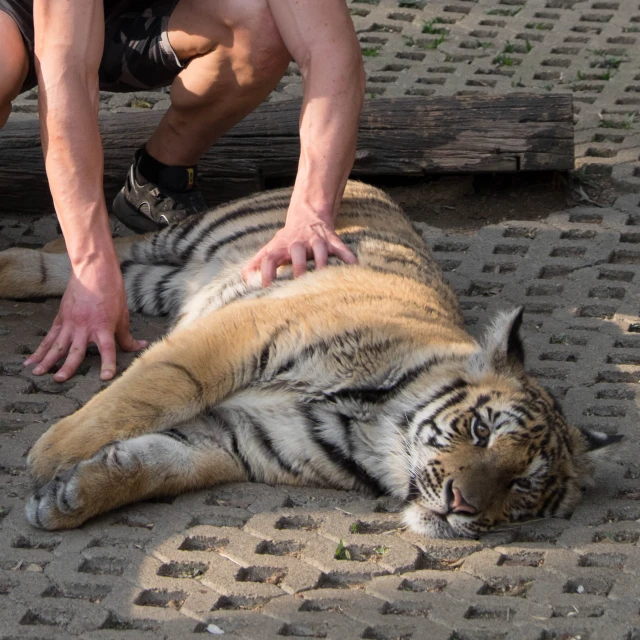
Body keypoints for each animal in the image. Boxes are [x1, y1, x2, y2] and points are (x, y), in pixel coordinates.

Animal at [0, 181, 620, 540]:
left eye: (523, 486)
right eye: (481, 430)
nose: (461, 505)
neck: (375, 425)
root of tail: (366, 180)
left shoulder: (238, 439)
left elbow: (163, 463)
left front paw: (68, 498)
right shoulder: (241, 333)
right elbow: (155, 387)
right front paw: (50, 453)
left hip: (157, 282)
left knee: (94, 270)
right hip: (182, 238)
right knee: (92, 256)